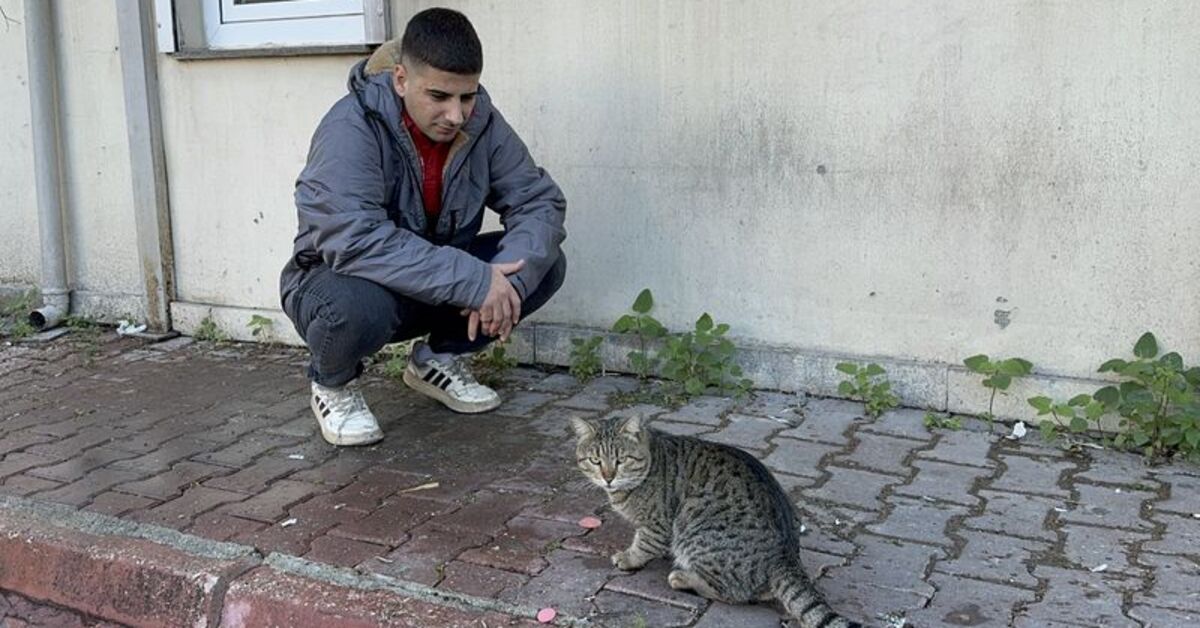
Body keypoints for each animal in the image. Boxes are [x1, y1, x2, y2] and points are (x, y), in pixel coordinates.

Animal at [571, 415, 864, 624]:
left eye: (621, 460)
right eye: (595, 461)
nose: (608, 477)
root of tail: (785, 556)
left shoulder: (658, 523)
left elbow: (643, 544)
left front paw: (628, 558)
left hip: (694, 526)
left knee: (732, 593)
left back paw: (682, 577)